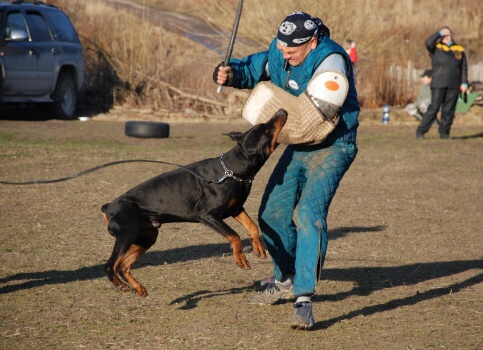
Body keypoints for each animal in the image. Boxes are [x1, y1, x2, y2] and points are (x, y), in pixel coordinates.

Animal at [100, 109, 286, 296]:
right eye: (265, 128)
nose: (282, 111)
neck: (232, 170)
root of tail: (109, 207)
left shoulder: (236, 209)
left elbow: (253, 227)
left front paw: (258, 248)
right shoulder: (208, 216)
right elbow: (234, 235)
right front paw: (240, 258)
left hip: (147, 236)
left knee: (123, 266)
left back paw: (138, 288)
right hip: (127, 233)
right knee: (110, 265)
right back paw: (119, 284)